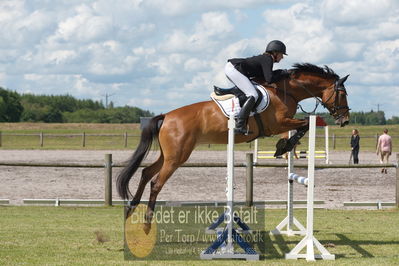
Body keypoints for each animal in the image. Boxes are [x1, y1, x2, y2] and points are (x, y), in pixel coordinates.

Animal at [118, 62, 350, 233]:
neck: (287, 91)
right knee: (156, 183)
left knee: (146, 173)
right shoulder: (279, 123)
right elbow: (303, 126)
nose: (345, 120)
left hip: (169, 155)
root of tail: (166, 116)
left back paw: (130, 210)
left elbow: (303, 126)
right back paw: (146, 223)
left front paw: (282, 147)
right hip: (177, 157)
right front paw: (283, 146)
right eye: (342, 94)